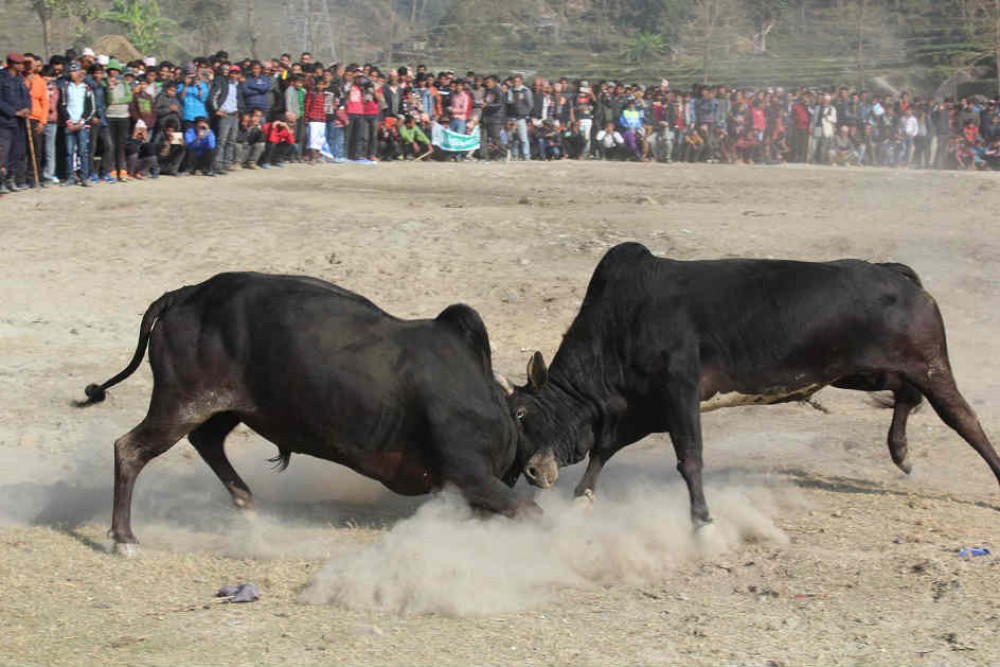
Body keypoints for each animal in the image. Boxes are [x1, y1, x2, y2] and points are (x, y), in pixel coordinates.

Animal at [76, 272, 540, 548]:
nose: (542, 471)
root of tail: (184, 296)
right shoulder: (472, 477)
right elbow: (529, 511)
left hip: (222, 408)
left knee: (206, 441)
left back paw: (250, 509)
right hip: (180, 403)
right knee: (130, 449)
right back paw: (124, 538)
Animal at [508, 243, 1000, 524]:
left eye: (522, 414)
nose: (530, 472)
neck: (621, 319)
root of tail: (893, 272)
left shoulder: (678, 393)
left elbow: (690, 458)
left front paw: (702, 519)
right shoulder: (642, 409)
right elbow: (604, 450)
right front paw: (582, 498)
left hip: (929, 365)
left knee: (963, 419)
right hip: (860, 373)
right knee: (904, 395)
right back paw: (900, 452)